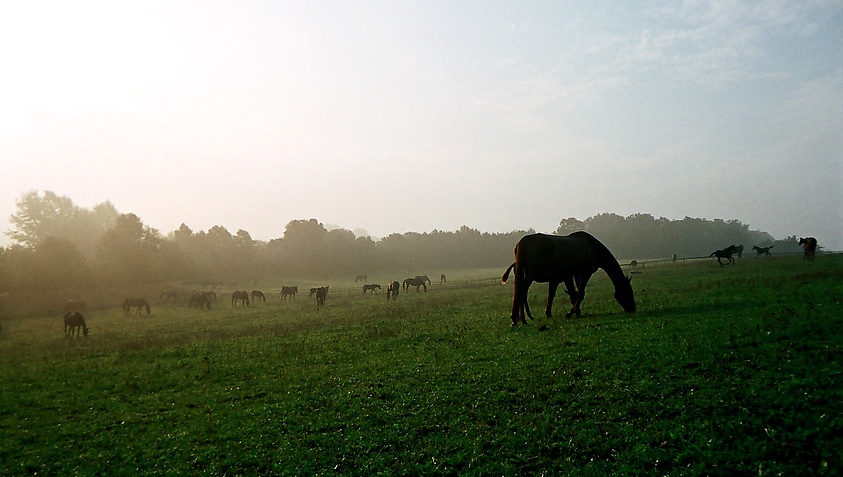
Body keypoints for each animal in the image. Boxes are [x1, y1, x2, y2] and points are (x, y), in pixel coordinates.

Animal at [502, 232, 632, 326]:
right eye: (628, 291)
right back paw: (518, 319)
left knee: (520, 290)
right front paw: (572, 312)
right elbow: (580, 293)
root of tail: (521, 243)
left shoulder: (572, 275)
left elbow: (571, 294)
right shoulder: (584, 274)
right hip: (530, 275)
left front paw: (570, 311)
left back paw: (520, 319)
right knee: (521, 290)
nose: (632, 308)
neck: (592, 248)